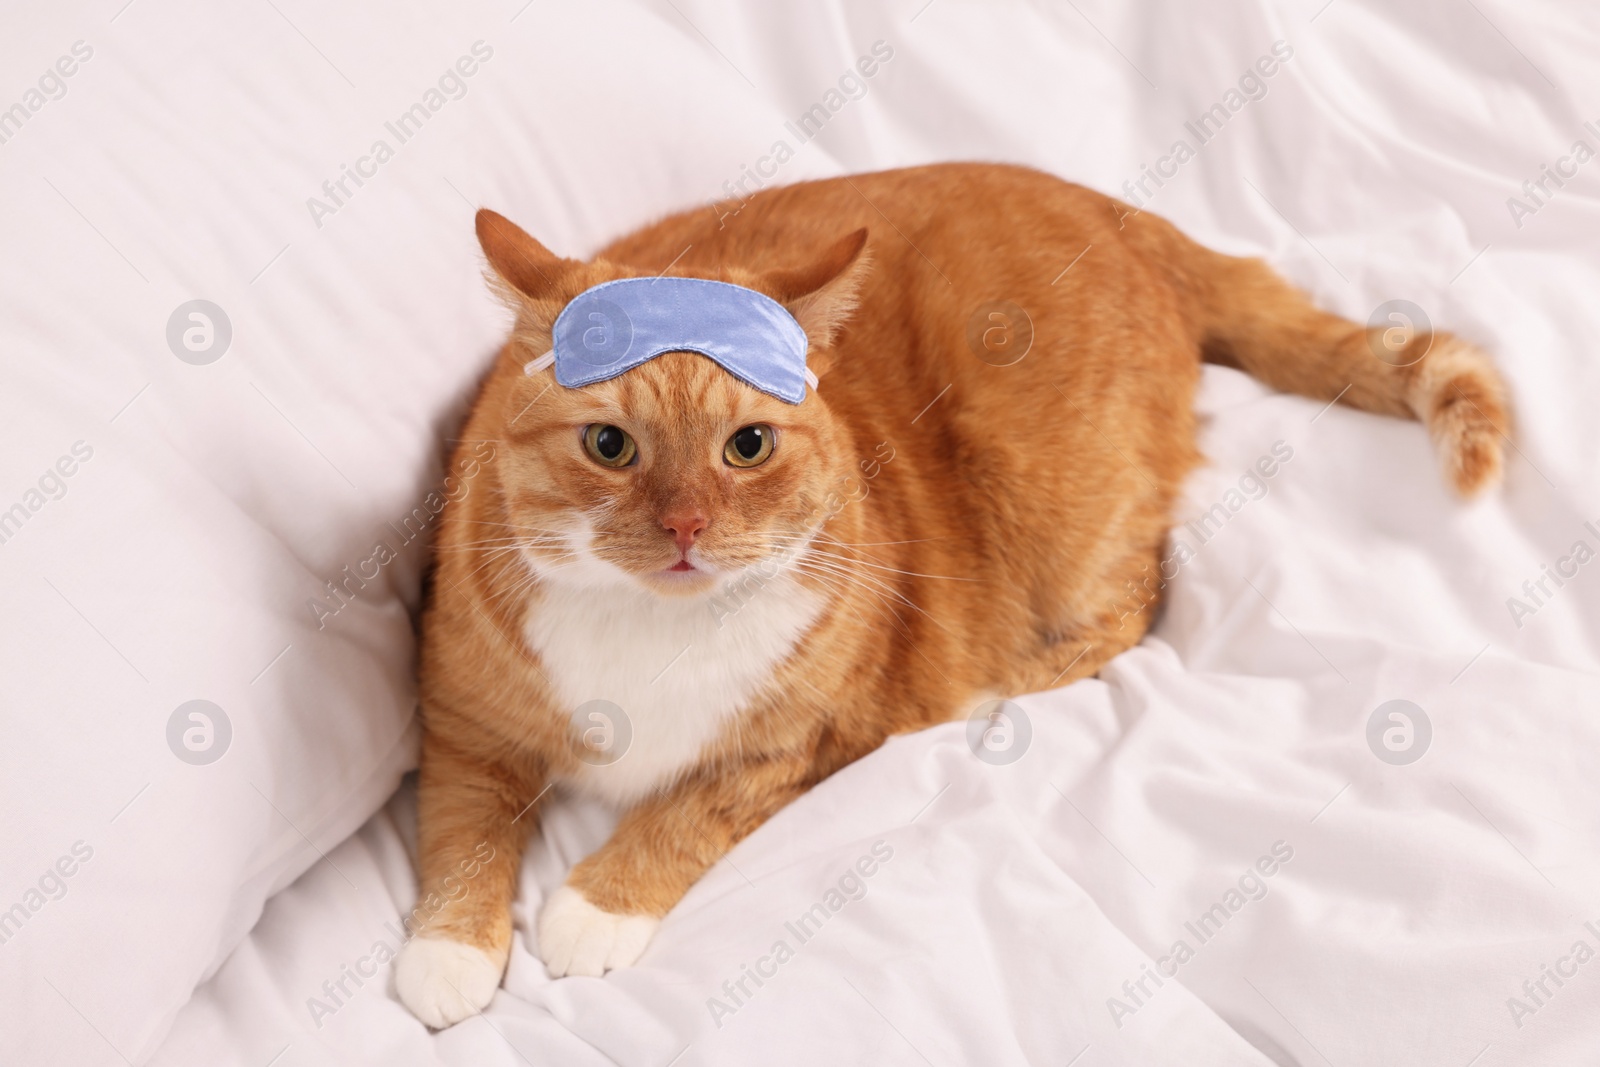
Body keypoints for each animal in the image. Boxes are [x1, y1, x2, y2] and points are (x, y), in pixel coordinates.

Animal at [393, 160, 1504, 1023]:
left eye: (746, 445)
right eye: (609, 445)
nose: (686, 527)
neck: (653, 632)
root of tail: (1120, 209)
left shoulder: (807, 739)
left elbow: (691, 807)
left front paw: (598, 903)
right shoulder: (461, 716)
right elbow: (464, 828)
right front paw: (448, 951)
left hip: (1063, 510)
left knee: (1137, 598)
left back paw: (1009, 678)